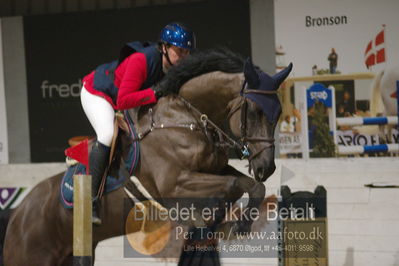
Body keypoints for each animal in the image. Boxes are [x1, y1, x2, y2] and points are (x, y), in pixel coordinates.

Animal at [1, 48, 292, 264]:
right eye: (254, 111)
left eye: (278, 113)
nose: (267, 167)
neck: (187, 117)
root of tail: (19, 213)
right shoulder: (175, 184)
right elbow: (231, 186)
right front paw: (215, 221)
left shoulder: (215, 170)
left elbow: (251, 186)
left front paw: (236, 224)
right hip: (30, 255)